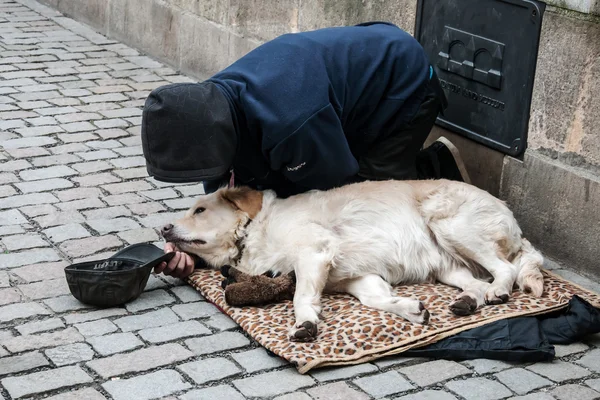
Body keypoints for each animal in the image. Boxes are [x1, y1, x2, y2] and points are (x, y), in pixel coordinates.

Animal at [162, 180, 548, 340]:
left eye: (199, 211)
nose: (163, 228)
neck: (255, 229)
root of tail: (512, 219)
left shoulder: (313, 252)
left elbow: (301, 297)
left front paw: (305, 323)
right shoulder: (352, 276)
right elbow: (376, 298)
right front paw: (410, 309)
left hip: (450, 226)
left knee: (505, 270)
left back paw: (500, 290)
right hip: (446, 264)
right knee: (476, 284)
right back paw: (467, 302)